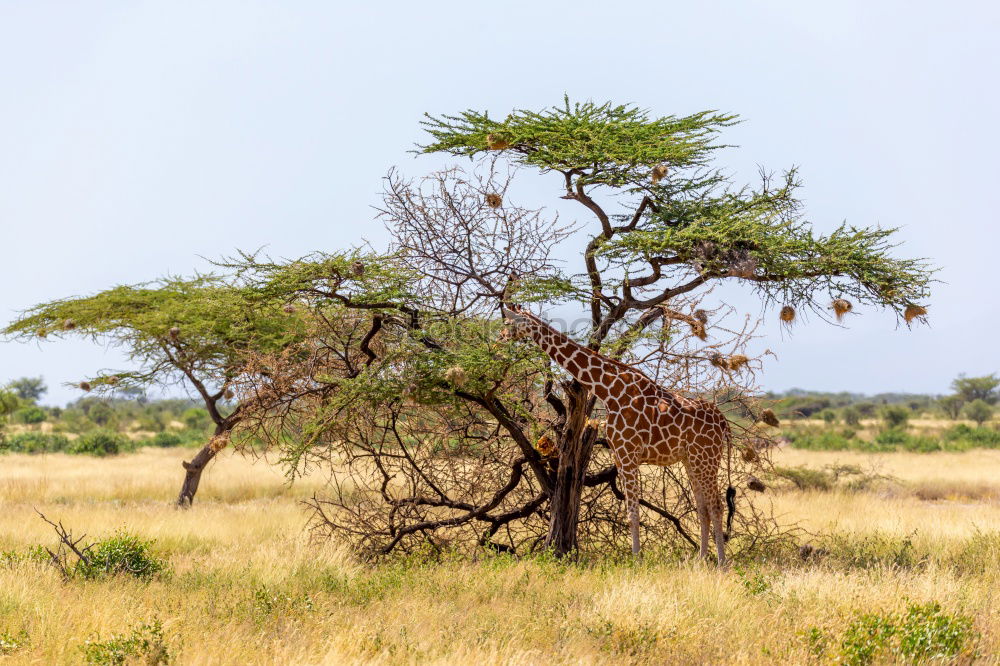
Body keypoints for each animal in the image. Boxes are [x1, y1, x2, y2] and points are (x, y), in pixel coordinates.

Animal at [500, 304, 736, 564]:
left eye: (509, 322)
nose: (500, 337)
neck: (609, 390)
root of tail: (724, 423)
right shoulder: (620, 455)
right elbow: (631, 509)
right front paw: (637, 557)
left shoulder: (628, 453)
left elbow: (633, 510)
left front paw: (636, 560)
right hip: (691, 460)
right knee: (703, 507)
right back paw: (700, 561)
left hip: (707, 458)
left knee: (716, 505)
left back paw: (722, 563)